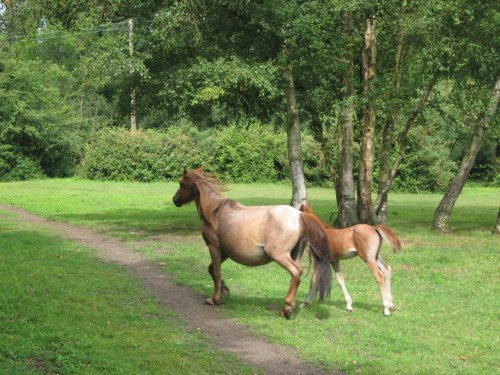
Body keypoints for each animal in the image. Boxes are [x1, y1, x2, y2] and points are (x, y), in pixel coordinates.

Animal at [172, 170, 332, 320]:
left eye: (181, 183)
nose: (175, 200)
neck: (214, 212)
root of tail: (299, 215)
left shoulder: (214, 247)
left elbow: (216, 272)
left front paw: (214, 299)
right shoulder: (224, 252)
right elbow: (211, 269)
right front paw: (225, 289)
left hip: (280, 255)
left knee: (296, 272)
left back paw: (287, 309)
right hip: (295, 254)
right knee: (295, 277)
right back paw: (287, 308)